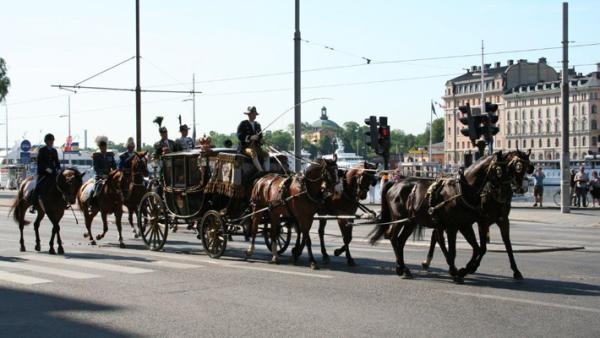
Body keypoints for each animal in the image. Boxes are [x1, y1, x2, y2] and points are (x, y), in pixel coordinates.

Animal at [370, 151, 506, 282]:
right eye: (499, 169)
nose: (503, 194)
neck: (461, 190)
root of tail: (395, 183)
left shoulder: (464, 225)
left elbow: (476, 248)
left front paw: (464, 269)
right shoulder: (452, 227)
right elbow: (452, 250)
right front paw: (455, 271)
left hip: (411, 221)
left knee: (400, 241)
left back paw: (404, 269)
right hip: (398, 219)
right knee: (393, 238)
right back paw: (400, 268)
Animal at [422, 149, 536, 278]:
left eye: (529, 167)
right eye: (517, 166)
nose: (522, 188)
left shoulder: (503, 220)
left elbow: (507, 245)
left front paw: (516, 270)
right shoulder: (482, 222)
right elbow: (482, 248)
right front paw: (470, 267)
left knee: (436, 236)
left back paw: (430, 261)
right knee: (438, 237)